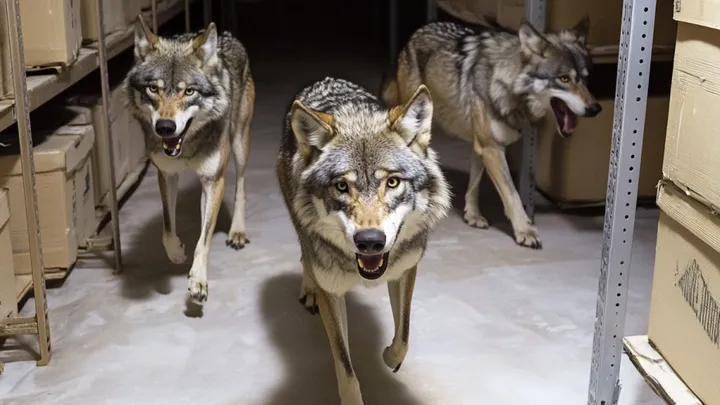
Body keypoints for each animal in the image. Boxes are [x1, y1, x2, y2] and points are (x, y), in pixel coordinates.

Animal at [124, 16, 254, 304]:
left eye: (189, 92)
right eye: (153, 88)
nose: (165, 127)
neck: (186, 148)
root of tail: (226, 35)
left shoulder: (214, 179)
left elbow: (203, 241)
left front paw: (198, 281)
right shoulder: (166, 175)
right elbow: (167, 228)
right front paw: (177, 253)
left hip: (239, 144)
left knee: (241, 186)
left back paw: (237, 231)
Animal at [276, 77, 451, 405]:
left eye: (392, 182)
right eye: (342, 186)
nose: (369, 241)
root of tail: (323, 80)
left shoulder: (406, 271)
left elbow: (403, 337)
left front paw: (388, 358)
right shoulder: (332, 293)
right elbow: (345, 368)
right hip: (299, 223)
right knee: (305, 256)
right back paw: (308, 289)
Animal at [382, 17, 602, 249]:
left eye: (586, 80)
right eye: (564, 79)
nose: (596, 109)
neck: (505, 83)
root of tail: (418, 31)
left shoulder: (483, 146)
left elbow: (475, 183)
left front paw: (473, 215)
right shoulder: (493, 149)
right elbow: (512, 195)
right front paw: (525, 231)